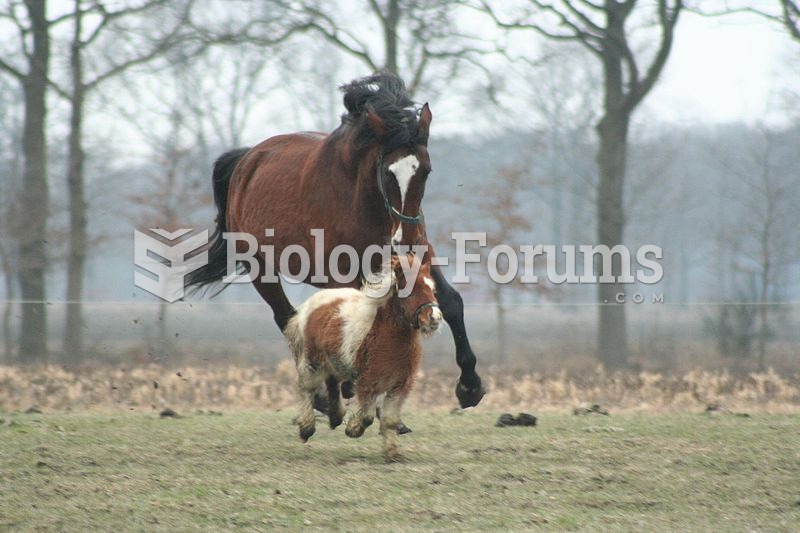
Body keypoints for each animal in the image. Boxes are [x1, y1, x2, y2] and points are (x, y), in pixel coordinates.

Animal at [186, 71, 488, 408]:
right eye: (388, 172)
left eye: (426, 170)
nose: (406, 239)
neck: (364, 202)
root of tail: (246, 161)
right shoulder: (345, 271)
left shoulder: (420, 257)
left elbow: (451, 301)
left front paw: (470, 385)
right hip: (260, 268)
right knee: (287, 319)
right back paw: (322, 392)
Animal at [284, 251, 440, 460]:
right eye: (410, 291)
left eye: (432, 289)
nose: (434, 318)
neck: (386, 335)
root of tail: (311, 305)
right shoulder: (368, 382)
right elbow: (367, 416)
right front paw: (353, 428)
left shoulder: (400, 385)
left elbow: (390, 419)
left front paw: (392, 453)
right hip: (312, 362)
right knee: (307, 388)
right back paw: (307, 428)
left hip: (333, 361)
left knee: (332, 383)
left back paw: (335, 416)